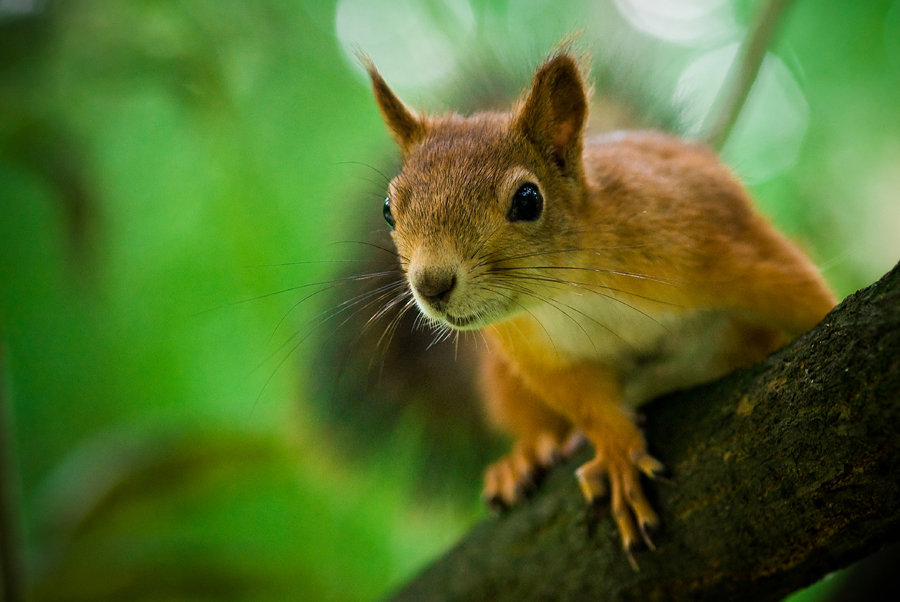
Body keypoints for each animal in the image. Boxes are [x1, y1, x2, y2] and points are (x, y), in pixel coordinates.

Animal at [360, 50, 836, 564]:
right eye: (388, 208)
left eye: (528, 200)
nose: (431, 284)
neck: (570, 292)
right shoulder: (536, 353)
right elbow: (587, 404)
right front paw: (618, 455)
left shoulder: (718, 240)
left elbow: (801, 293)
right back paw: (527, 456)